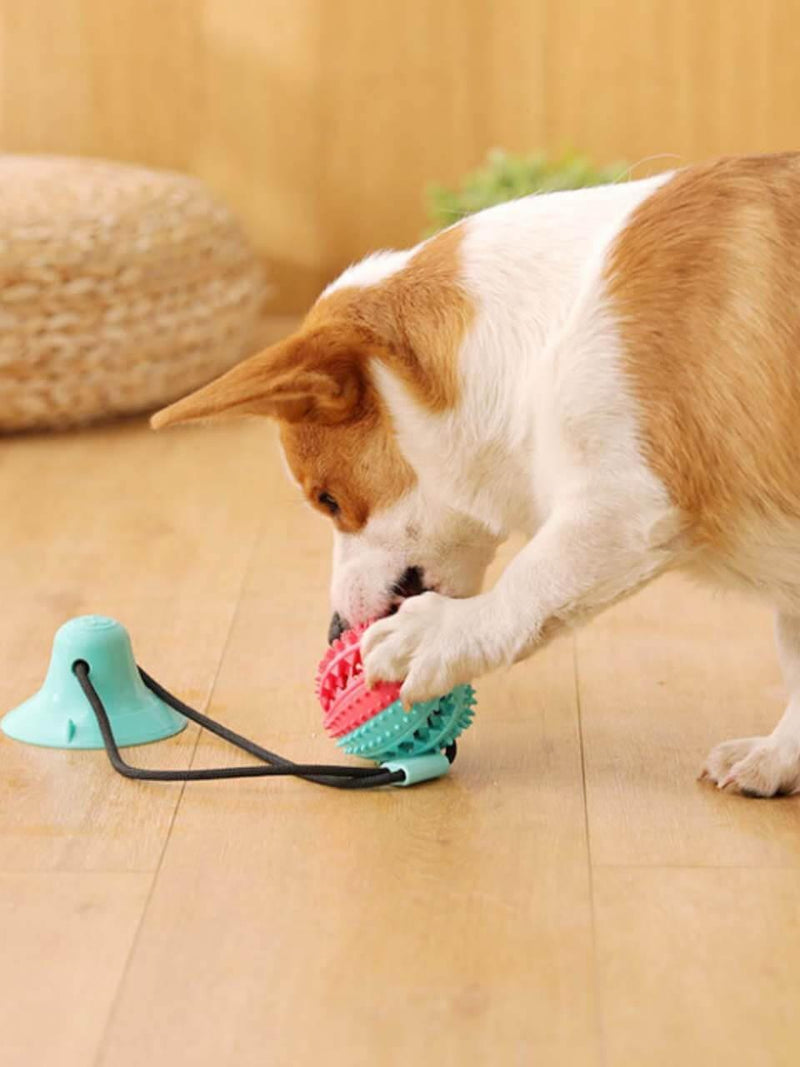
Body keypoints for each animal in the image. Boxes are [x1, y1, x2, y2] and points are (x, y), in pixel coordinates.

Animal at [153, 154, 800, 798]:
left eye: (328, 499)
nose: (335, 629)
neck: (536, 345)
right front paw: (776, 758)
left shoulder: (627, 502)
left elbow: (534, 580)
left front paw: (437, 636)